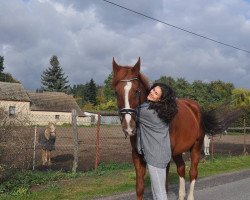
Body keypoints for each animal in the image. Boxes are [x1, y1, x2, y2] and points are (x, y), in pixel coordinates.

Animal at [112, 57, 244, 200]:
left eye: (136, 91)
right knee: (181, 168)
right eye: (116, 92)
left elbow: (163, 186)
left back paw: (190, 195)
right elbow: (140, 188)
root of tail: (197, 108)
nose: (128, 127)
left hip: (196, 147)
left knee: (193, 172)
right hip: (177, 152)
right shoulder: (137, 156)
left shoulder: (164, 158)